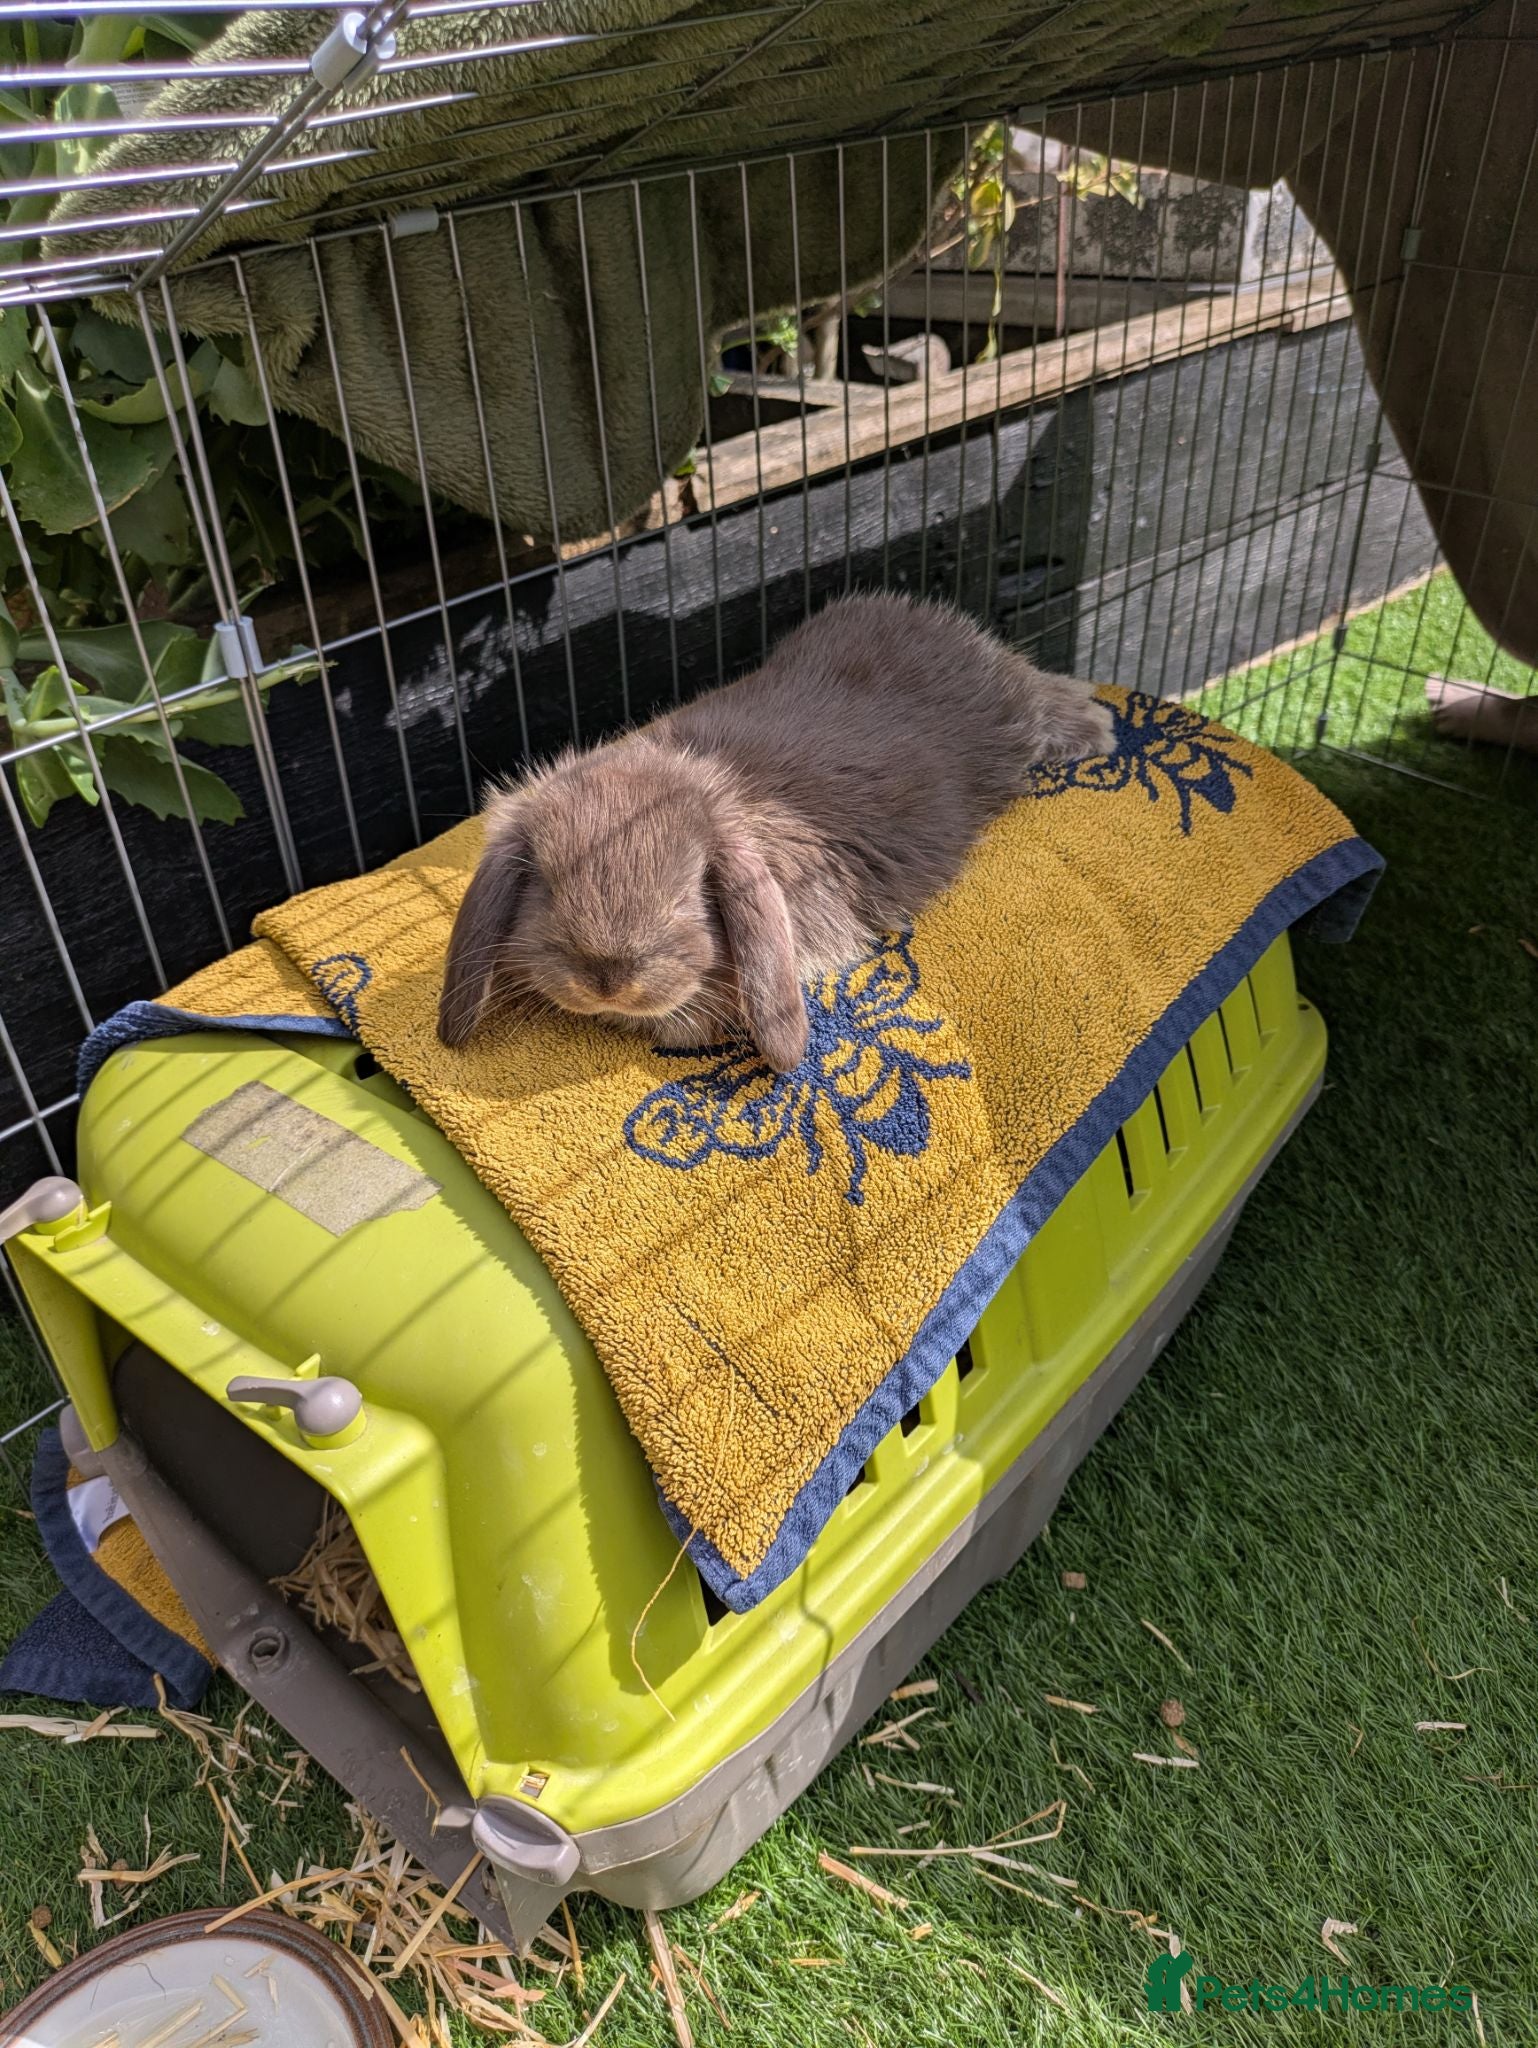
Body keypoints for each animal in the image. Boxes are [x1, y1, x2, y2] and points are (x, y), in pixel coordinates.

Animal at [438, 592, 1114, 1074]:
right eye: (546, 889)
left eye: (685, 896)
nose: (608, 980)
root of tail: (919, 613)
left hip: (1007, 712)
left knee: (1044, 691)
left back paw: (1095, 729)